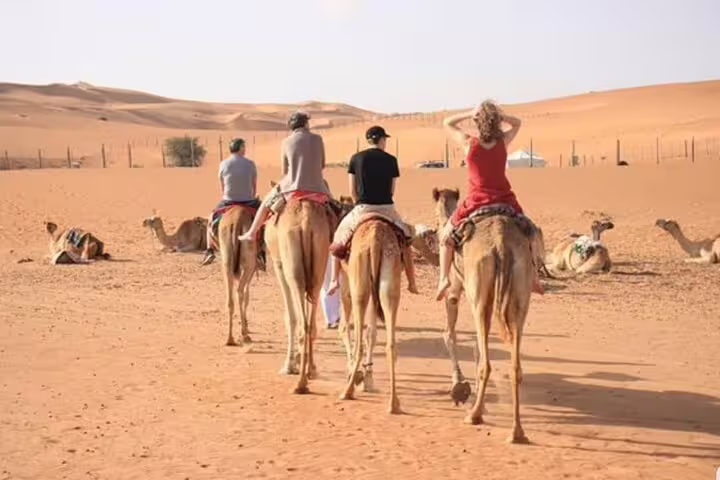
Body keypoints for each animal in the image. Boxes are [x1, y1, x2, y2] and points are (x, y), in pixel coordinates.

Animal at [217, 206, 258, 346]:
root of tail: (236, 221)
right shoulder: (251, 268)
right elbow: (247, 294)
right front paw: (246, 325)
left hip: (226, 258)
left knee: (230, 298)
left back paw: (229, 338)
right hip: (249, 262)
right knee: (240, 291)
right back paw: (244, 335)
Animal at [337, 219, 403, 414]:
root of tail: (375, 239)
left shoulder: (345, 279)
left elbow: (344, 327)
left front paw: (358, 376)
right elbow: (371, 333)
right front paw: (367, 379)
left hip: (359, 281)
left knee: (357, 339)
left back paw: (347, 391)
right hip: (389, 276)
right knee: (390, 344)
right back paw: (394, 403)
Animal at [432, 187, 534, 443]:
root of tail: (501, 244)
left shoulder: (454, 291)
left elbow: (449, 334)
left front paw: (459, 388)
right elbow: (477, 345)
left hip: (479, 289)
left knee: (486, 361)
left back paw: (474, 415)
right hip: (520, 293)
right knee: (515, 364)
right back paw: (517, 431)